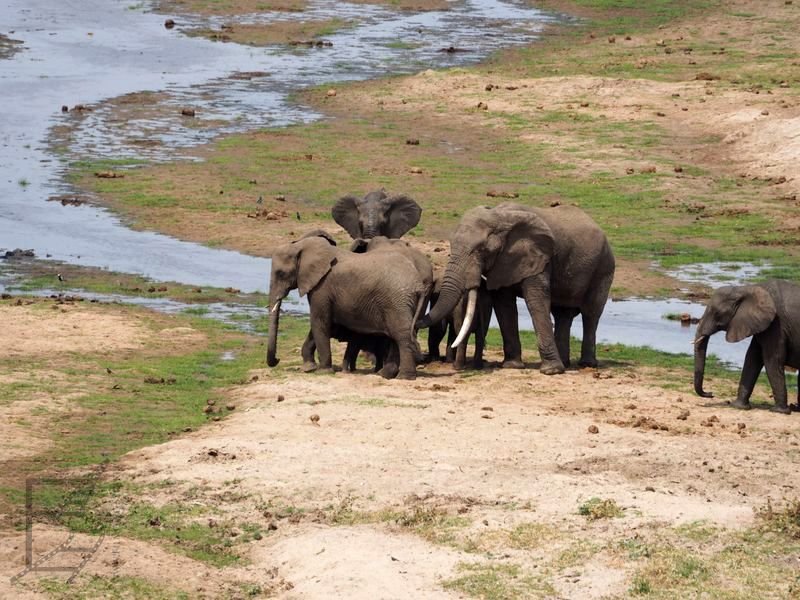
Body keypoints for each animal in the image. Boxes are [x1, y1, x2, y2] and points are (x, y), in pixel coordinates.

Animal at [266, 236, 424, 380]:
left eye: (281, 273)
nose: (277, 360)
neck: (302, 246)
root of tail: (419, 284)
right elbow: (320, 325)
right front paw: (308, 368)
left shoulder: (322, 287)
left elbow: (319, 322)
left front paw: (323, 372)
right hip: (399, 303)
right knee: (396, 335)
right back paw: (384, 375)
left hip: (396, 302)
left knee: (401, 336)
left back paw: (404, 377)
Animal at [416, 202, 616, 376]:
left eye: (481, 250)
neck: (498, 217)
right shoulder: (504, 262)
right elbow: (504, 305)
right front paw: (512, 366)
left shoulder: (539, 257)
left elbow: (536, 301)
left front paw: (551, 371)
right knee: (563, 315)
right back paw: (566, 363)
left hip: (603, 267)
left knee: (591, 313)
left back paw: (586, 364)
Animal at [692, 280, 800, 412]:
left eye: (717, 313)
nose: (711, 393)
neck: (745, 289)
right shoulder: (761, 324)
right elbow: (752, 358)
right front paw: (738, 406)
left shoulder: (777, 325)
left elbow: (772, 361)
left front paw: (779, 411)